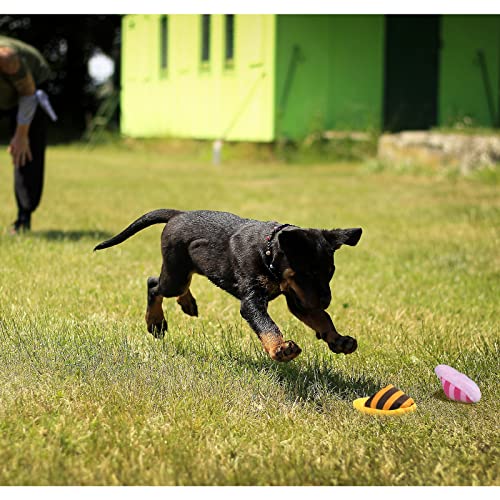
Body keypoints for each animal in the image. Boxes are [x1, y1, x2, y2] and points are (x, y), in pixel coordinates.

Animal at [94, 209, 362, 362]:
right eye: (308, 273)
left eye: (330, 272)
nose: (326, 300)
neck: (267, 251)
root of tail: (177, 214)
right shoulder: (253, 300)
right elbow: (267, 325)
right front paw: (280, 349)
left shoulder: (299, 299)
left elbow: (322, 318)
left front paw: (338, 340)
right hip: (175, 274)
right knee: (153, 284)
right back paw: (156, 322)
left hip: (185, 270)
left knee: (177, 286)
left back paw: (187, 303)